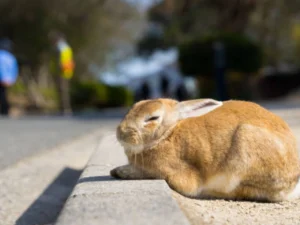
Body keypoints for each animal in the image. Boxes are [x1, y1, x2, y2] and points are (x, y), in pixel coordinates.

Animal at [110, 98, 300, 202]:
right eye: (133, 107)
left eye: (153, 118)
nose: (121, 132)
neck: (168, 133)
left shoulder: (174, 172)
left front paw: (120, 171)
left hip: (244, 149)